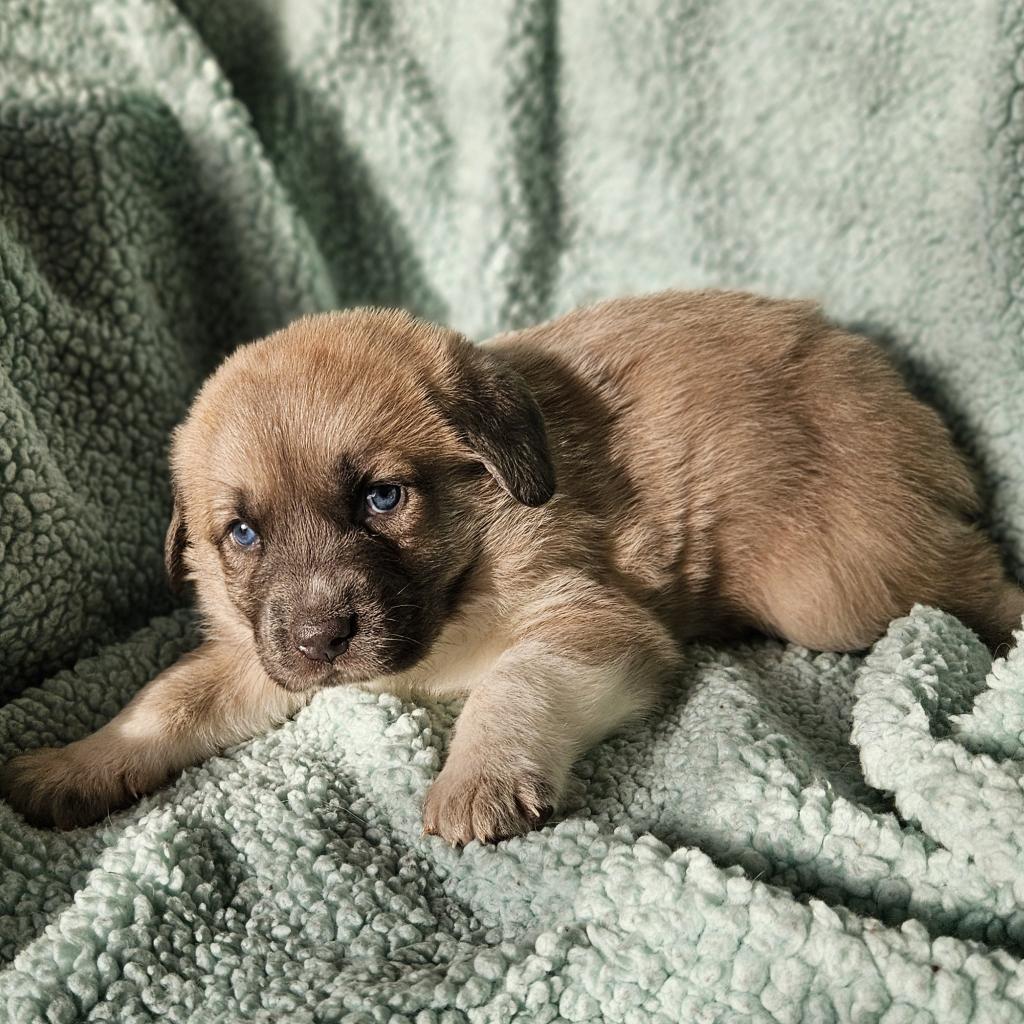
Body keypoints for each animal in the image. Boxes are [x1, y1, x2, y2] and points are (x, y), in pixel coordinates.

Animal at [4, 290, 1019, 839]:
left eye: (382, 498)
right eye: (242, 535)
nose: (322, 637)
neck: (464, 570)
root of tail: (891, 383)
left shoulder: (588, 621)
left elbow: (514, 685)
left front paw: (478, 779)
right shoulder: (263, 657)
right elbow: (168, 700)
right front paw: (75, 764)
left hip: (839, 587)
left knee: (970, 576)